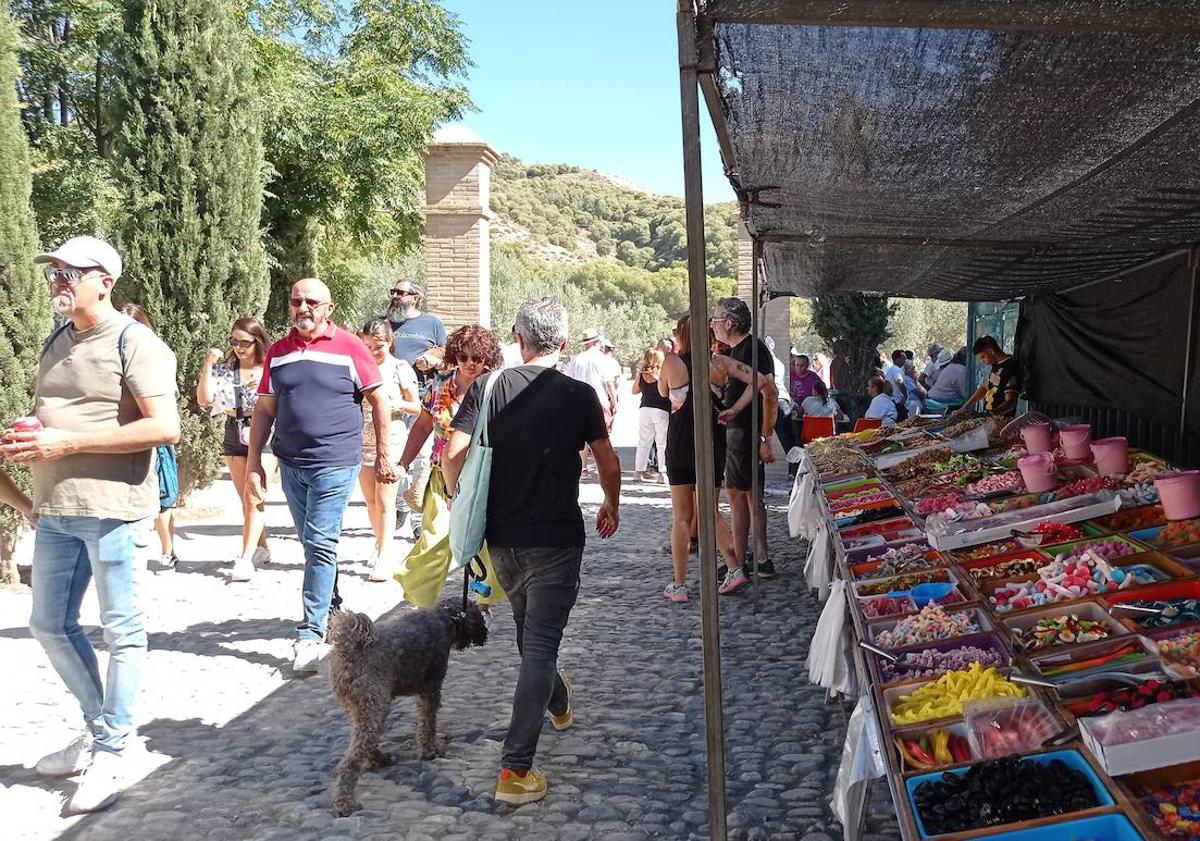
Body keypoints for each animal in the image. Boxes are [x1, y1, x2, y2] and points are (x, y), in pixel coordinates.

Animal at [326, 599, 484, 811]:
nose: (483, 635)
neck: (444, 618)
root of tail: (349, 646)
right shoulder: (431, 689)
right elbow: (428, 724)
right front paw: (431, 750)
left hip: (359, 708)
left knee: (364, 744)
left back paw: (380, 759)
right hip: (374, 706)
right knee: (351, 759)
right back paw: (345, 802)